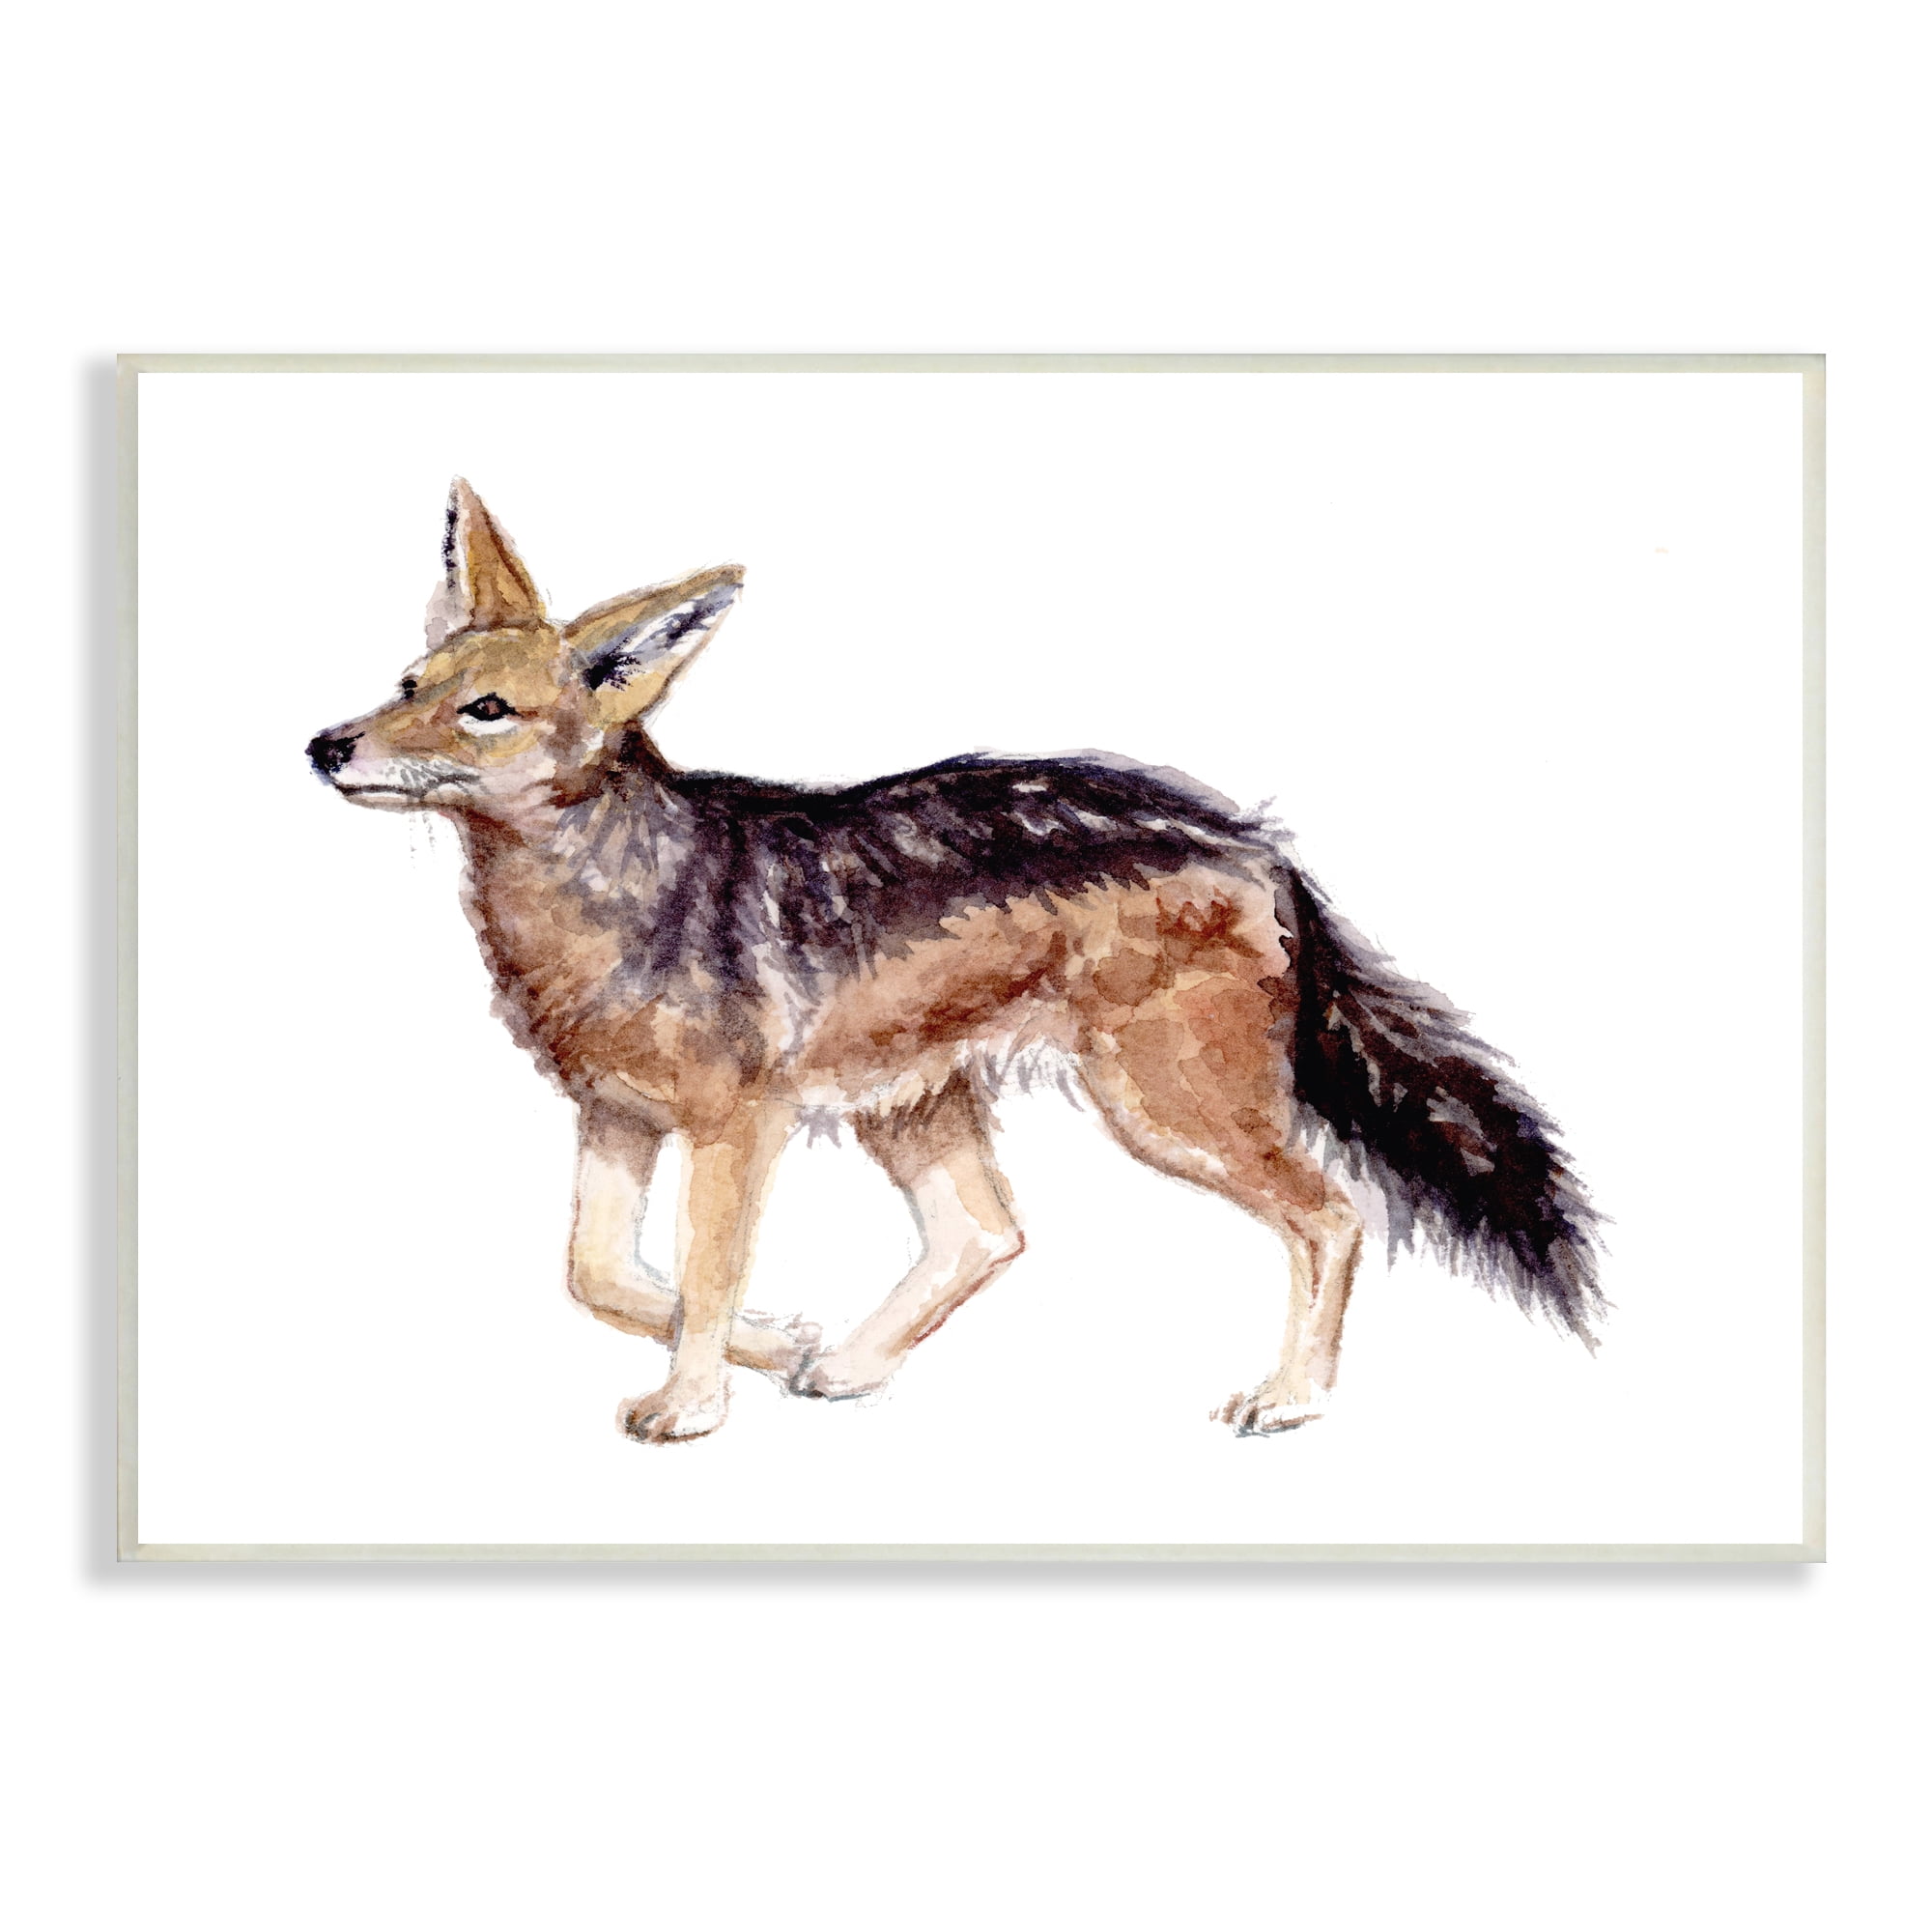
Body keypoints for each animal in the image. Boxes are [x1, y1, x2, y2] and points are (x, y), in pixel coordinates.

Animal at [307, 480, 1604, 1445]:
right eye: (408, 686)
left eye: (484, 709)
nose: (325, 744)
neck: (597, 894)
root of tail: (1256, 841)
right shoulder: (616, 1115)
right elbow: (604, 1276)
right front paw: (774, 1340)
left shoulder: (735, 1129)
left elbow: (700, 1272)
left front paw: (694, 1401)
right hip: (917, 1104)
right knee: (988, 1233)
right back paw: (846, 1363)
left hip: (1157, 1110)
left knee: (1330, 1211)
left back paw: (1290, 1397)